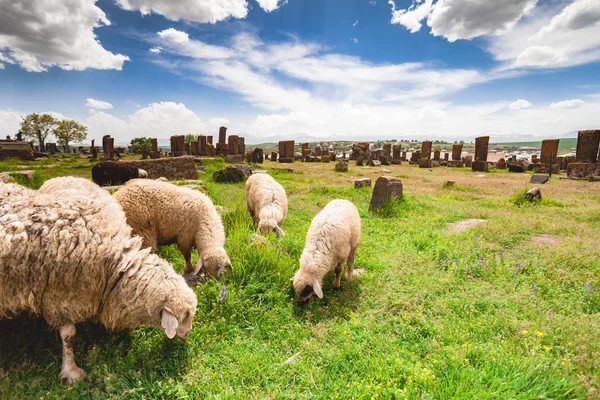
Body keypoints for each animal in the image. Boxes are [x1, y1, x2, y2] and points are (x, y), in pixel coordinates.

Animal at [0, 179, 197, 384]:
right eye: (185, 316)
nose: (188, 333)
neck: (114, 266)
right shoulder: (58, 298)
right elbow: (69, 336)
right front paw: (71, 371)